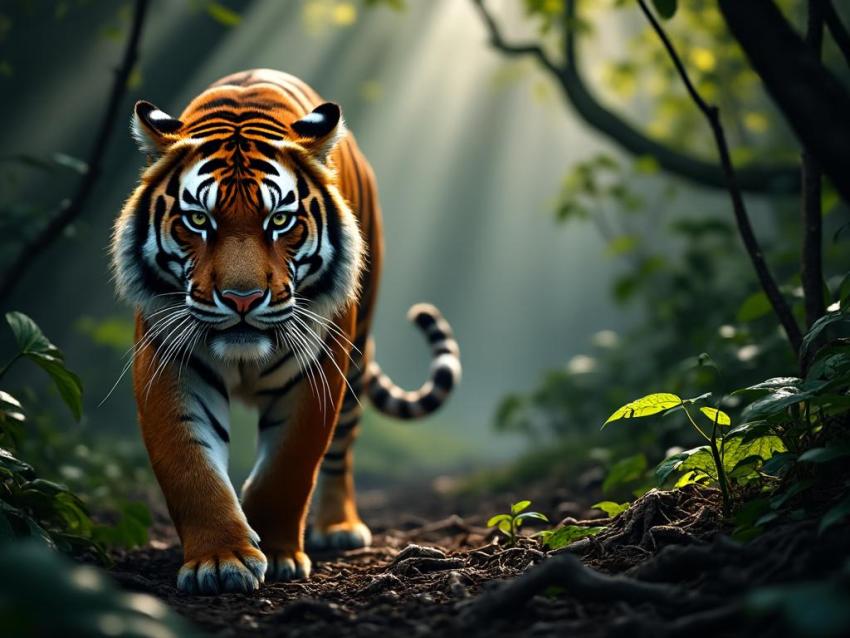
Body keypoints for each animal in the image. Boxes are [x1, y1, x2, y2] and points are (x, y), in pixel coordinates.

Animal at [111, 69, 461, 595]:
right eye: (198, 219)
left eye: (279, 220)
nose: (241, 300)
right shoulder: (170, 361)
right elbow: (190, 467)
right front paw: (221, 559)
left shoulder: (317, 369)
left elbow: (287, 470)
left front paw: (276, 553)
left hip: (355, 354)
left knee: (342, 448)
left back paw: (338, 527)